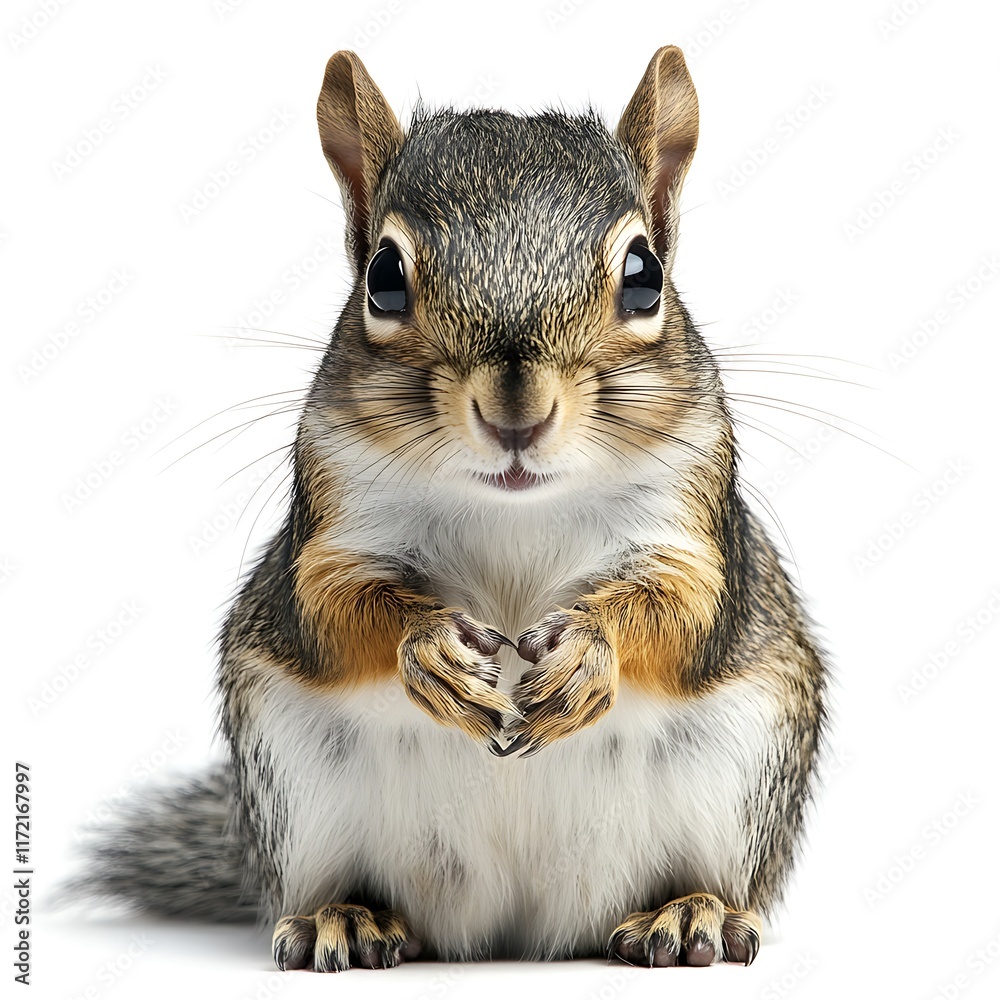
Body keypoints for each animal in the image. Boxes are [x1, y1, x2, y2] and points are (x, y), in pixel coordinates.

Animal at [71, 46, 826, 971]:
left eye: (645, 276)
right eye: (384, 278)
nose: (517, 412)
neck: (515, 510)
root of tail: (518, 933)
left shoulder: (693, 525)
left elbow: (685, 615)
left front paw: (588, 654)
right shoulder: (331, 525)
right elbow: (332, 610)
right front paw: (429, 649)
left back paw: (691, 912)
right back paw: (345, 917)